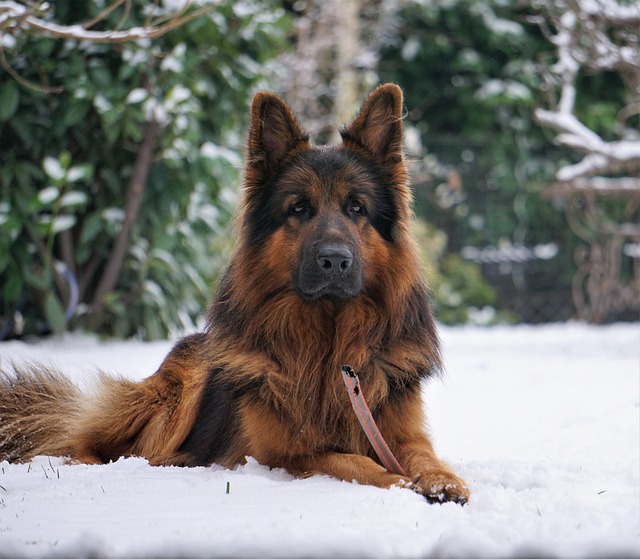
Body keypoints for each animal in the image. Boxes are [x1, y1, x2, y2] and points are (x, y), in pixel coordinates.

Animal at [0, 84, 470, 508]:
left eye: (357, 208)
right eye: (299, 208)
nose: (335, 260)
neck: (330, 341)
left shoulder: (400, 431)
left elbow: (423, 455)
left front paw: (442, 481)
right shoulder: (284, 454)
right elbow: (350, 461)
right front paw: (399, 484)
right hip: (173, 396)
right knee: (92, 441)